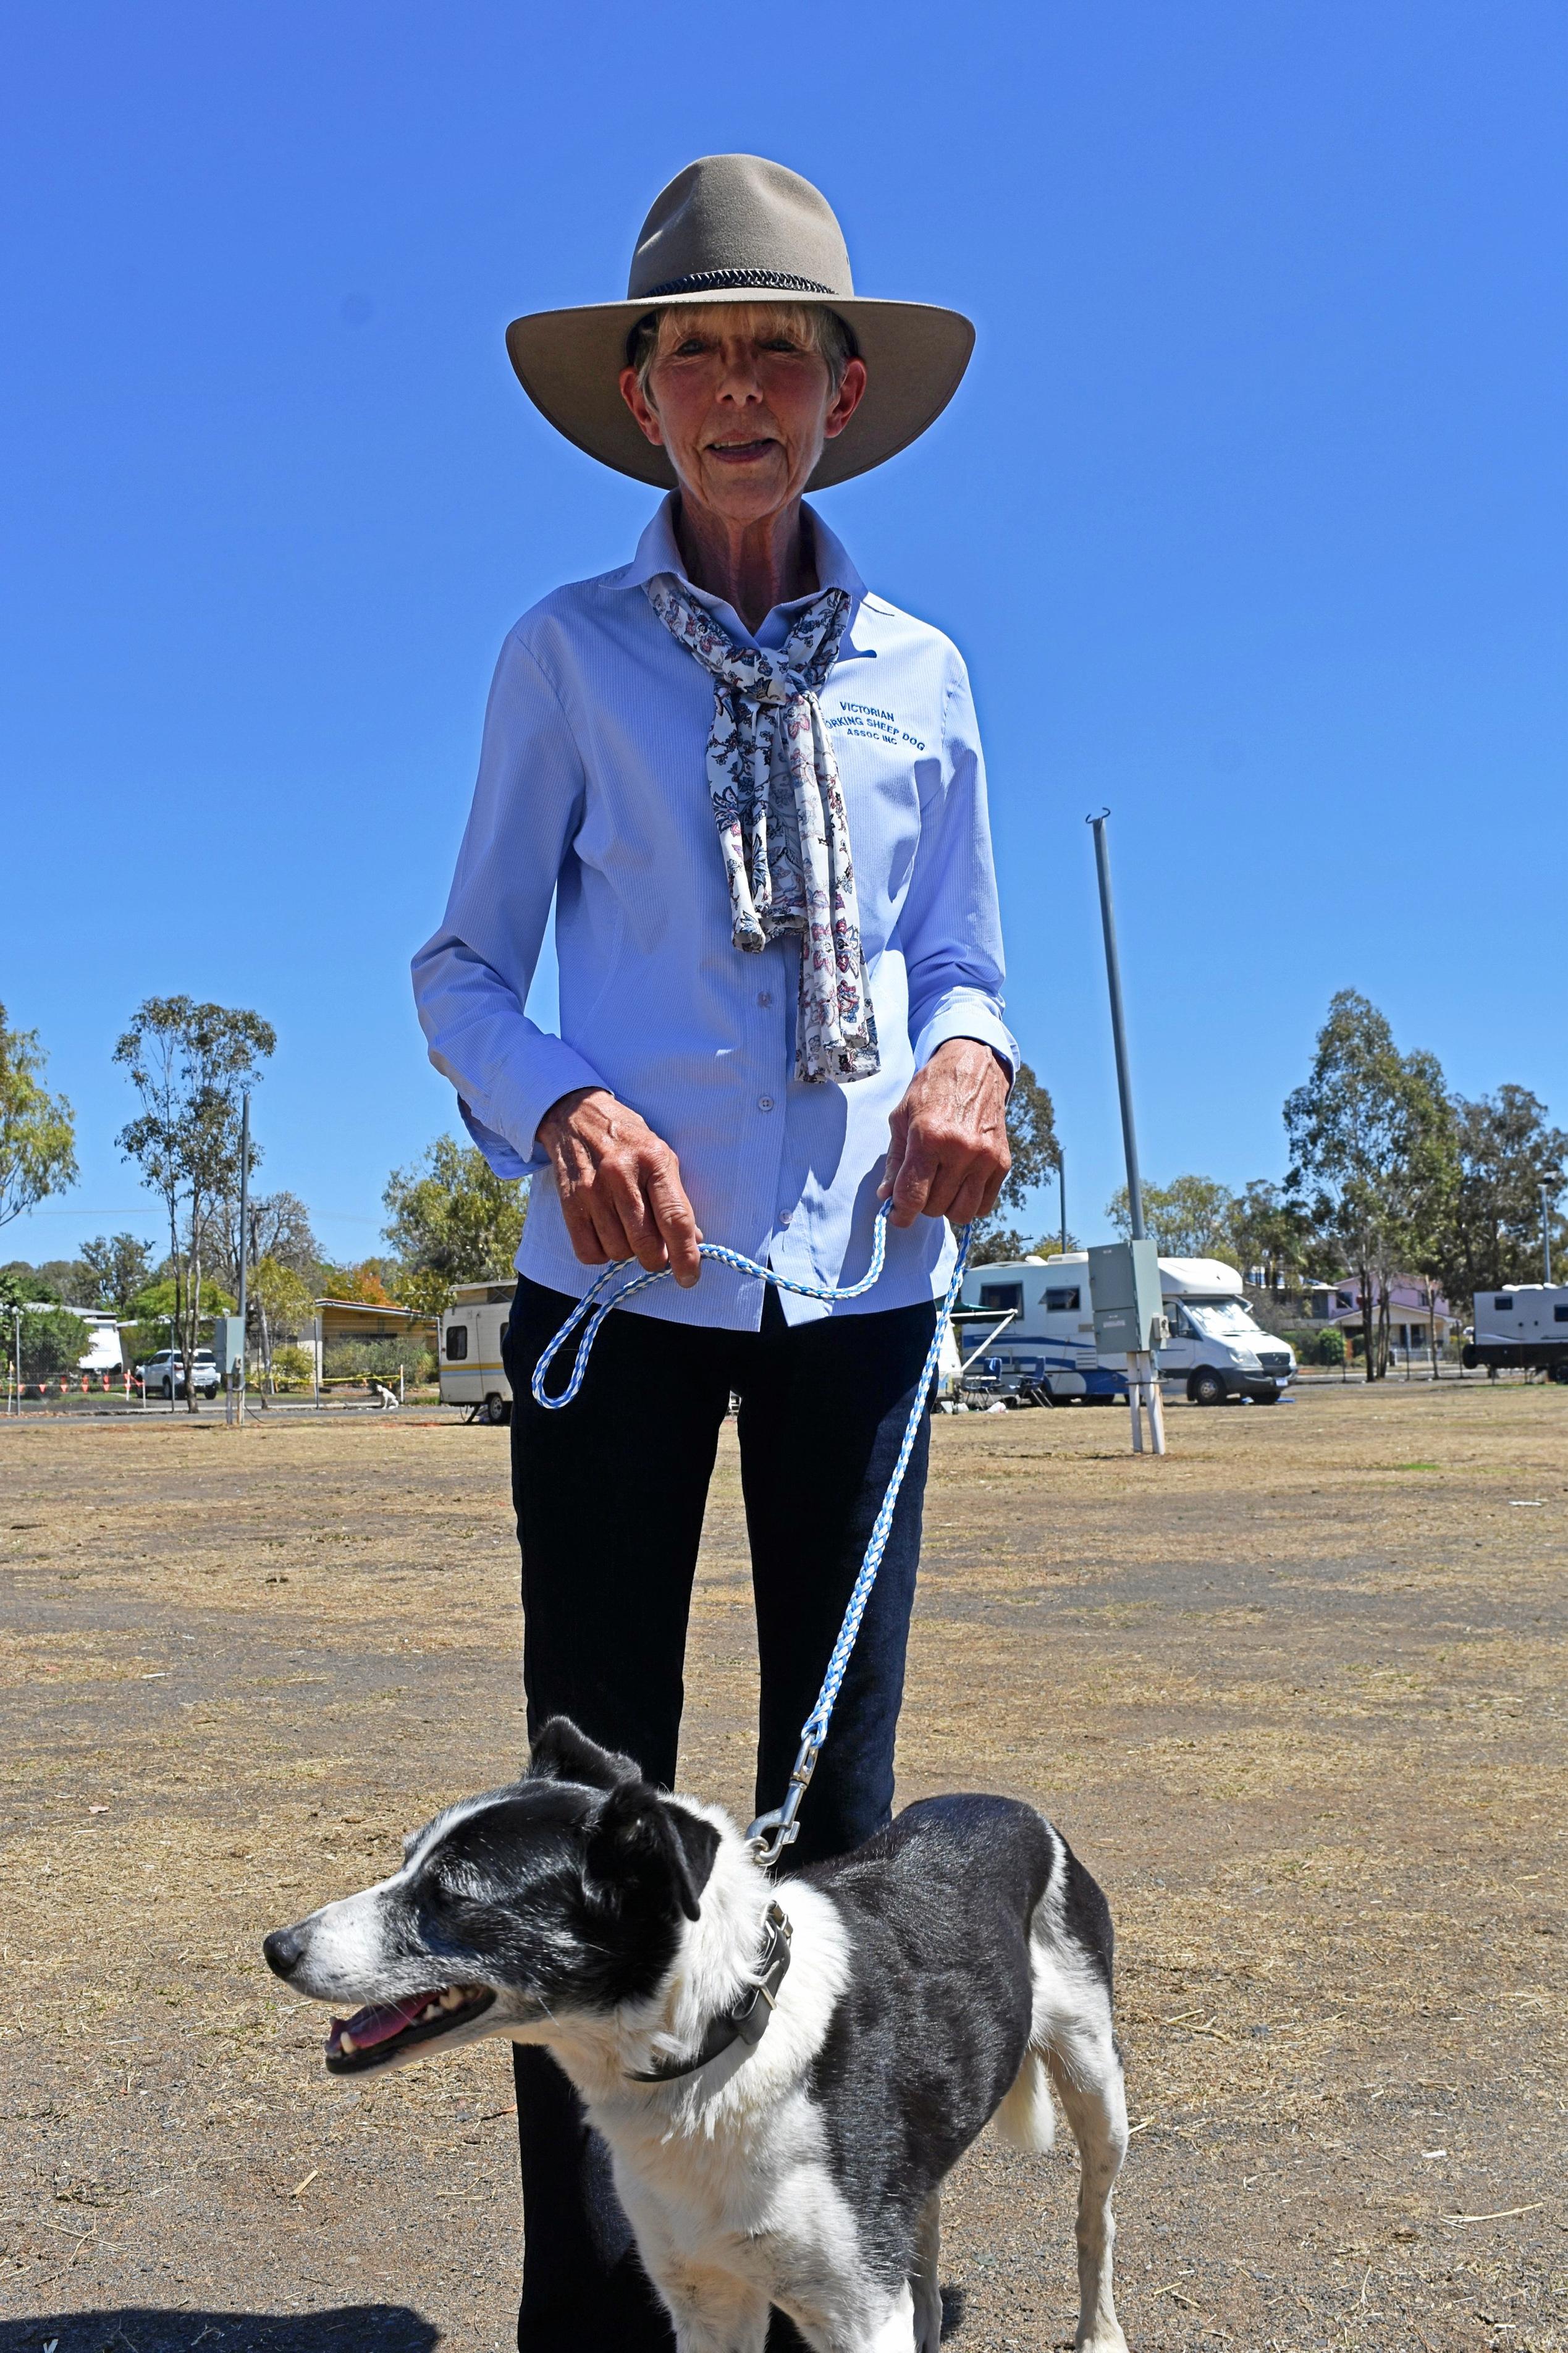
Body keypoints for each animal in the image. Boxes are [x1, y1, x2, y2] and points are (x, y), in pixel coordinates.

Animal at [266, 1713, 1125, 2353]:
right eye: (406, 1862)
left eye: (450, 1892)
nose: (277, 1947)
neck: (723, 2042)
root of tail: (1009, 1805)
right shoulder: (706, 2299)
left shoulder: (854, 2314)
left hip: (1098, 2091)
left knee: (1095, 2222)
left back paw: (1101, 2332)